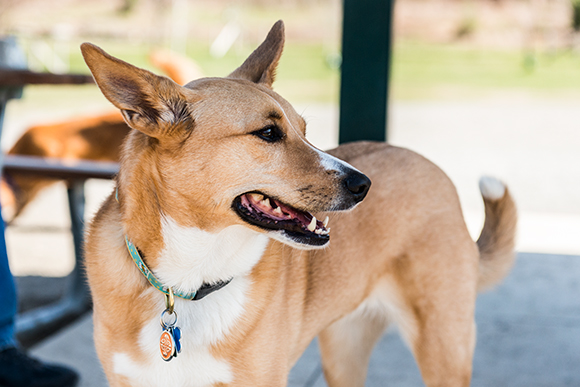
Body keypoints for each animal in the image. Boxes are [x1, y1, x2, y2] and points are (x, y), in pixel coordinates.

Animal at [81, 21, 516, 387]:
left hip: (443, 347)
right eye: (268, 133)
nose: (363, 185)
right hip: (343, 353)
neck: (189, 277)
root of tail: (427, 163)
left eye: (305, 131)